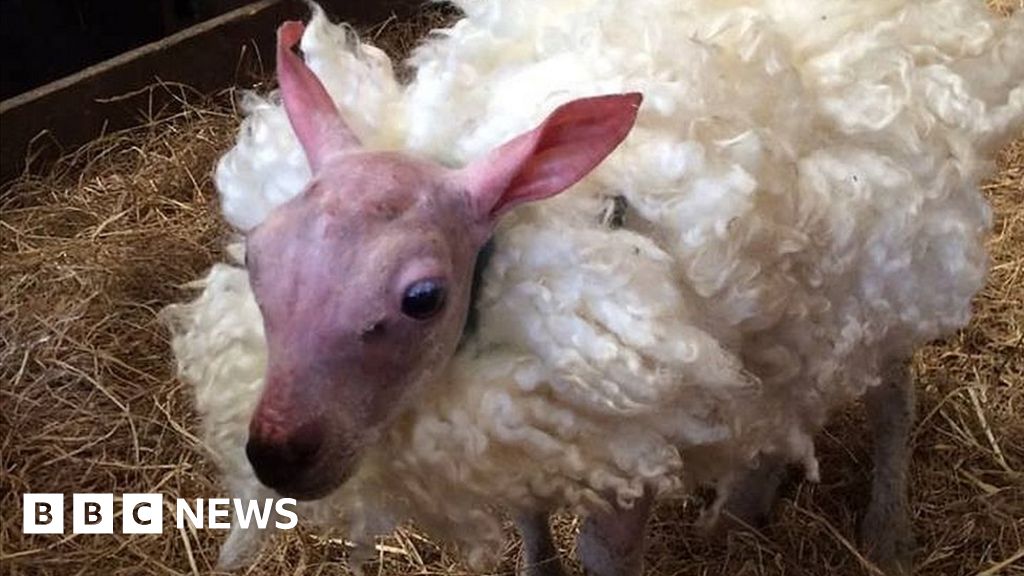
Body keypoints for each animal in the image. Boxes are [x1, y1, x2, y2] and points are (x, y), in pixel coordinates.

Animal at [161, 0, 1024, 569]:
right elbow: (530, 529)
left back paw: (887, 528)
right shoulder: (523, 418)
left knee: (891, 390)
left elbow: (605, 558)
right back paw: (745, 502)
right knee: (784, 401)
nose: (277, 454)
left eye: (422, 299)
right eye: (259, 256)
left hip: (888, 267)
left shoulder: (630, 428)